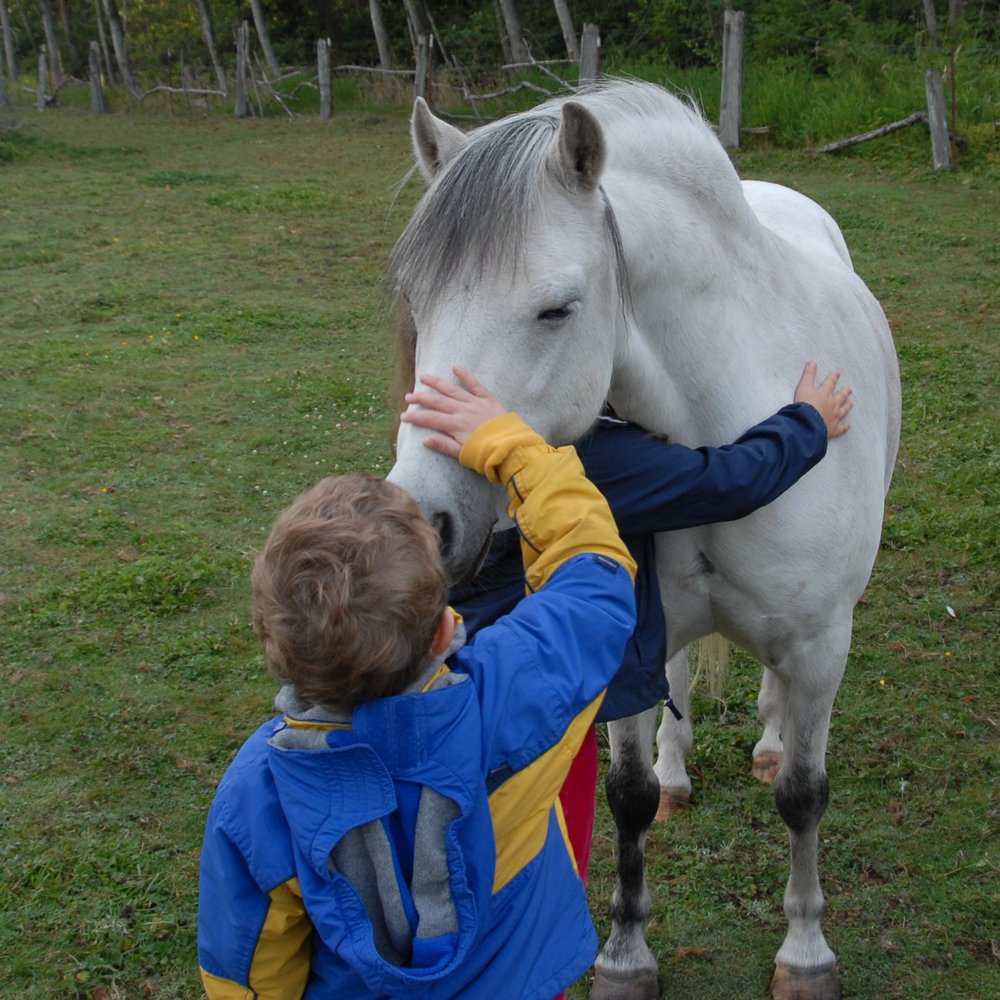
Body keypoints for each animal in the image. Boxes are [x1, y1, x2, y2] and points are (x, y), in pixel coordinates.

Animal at [386, 80, 901, 1000]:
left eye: (556, 308)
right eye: (417, 297)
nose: (424, 523)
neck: (720, 428)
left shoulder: (820, 647)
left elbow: (805, 796)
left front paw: (806, 952)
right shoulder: (624, 628)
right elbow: (624, 796)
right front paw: (626, 954)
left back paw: (767, 743)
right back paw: (676, 772)